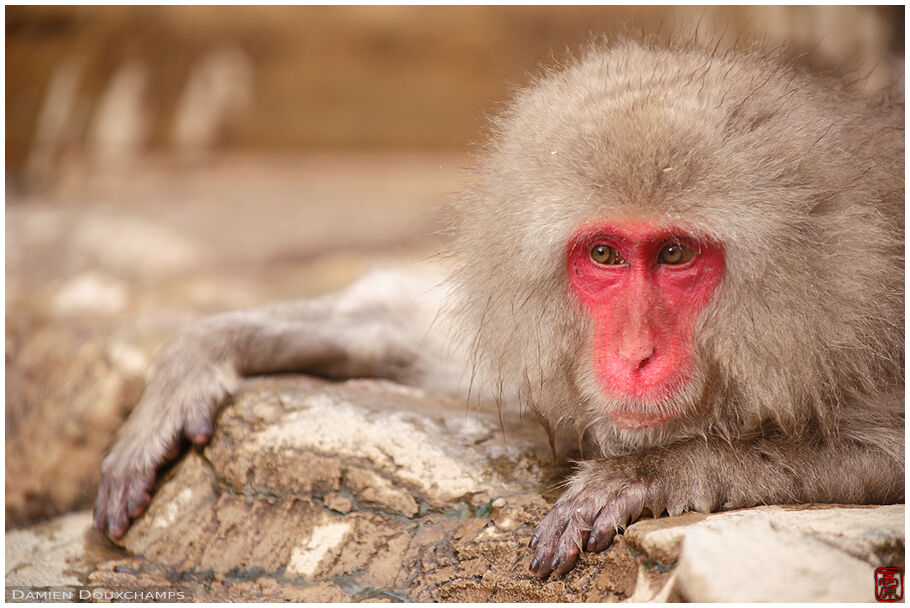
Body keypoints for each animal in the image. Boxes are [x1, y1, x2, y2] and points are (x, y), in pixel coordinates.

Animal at [92, 40, 904, 576]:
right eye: (605, 254)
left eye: (674, 254)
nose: (635, 354)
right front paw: (205, 352)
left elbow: (883, 454)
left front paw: (649, 474)